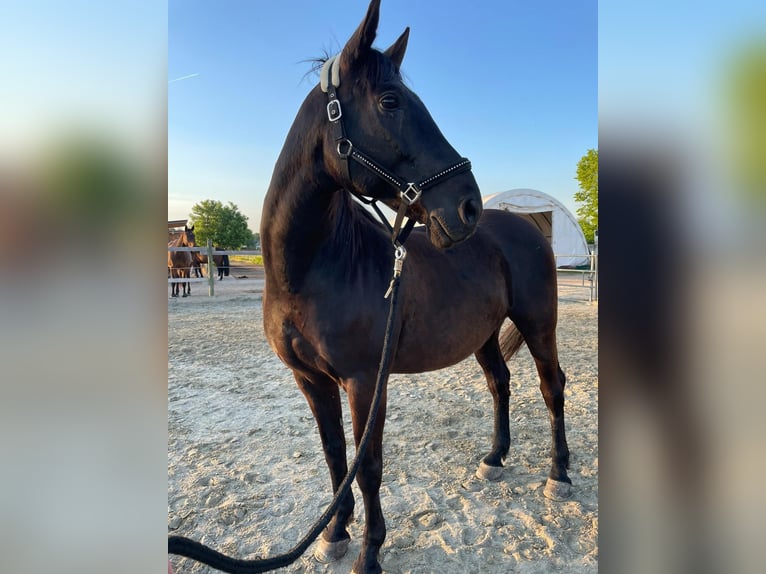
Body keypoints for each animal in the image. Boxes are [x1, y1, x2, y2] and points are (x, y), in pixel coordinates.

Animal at [260, 1, 570, 572]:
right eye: (390, 101)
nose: (467, 204)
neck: (310, 271)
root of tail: (526, 228)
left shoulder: (365, 380)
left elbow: (368, 465)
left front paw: (369, 553)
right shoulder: (310, 380)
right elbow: (335, 455)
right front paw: (335, 532)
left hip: (539, 324)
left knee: (551, 386)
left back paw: (559, 474)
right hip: (484, 334)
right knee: (500, 383)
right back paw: (495, 458)